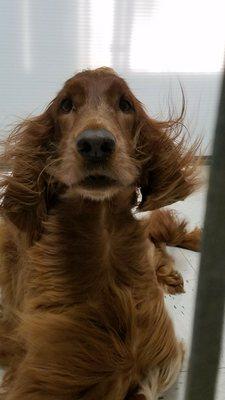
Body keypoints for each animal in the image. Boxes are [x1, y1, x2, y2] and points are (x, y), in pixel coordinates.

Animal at [0, 67, 200, 398]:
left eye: (126, 105)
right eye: (66, 105)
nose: (95, 144)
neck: (102, 234)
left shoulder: (162, 362)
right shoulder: (39, 380)